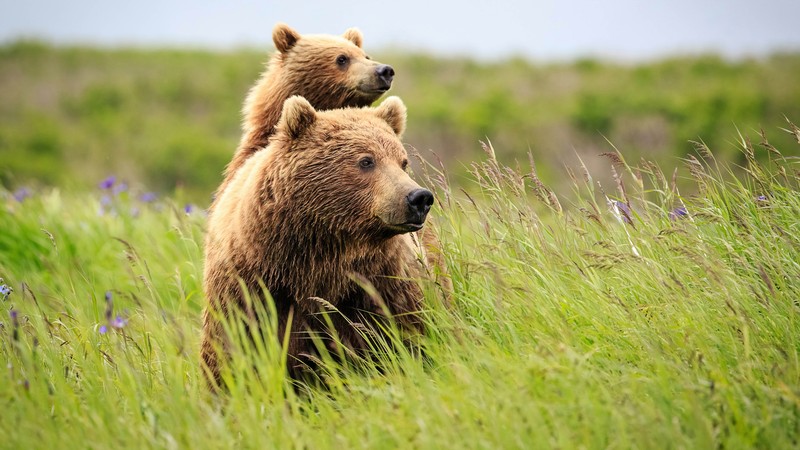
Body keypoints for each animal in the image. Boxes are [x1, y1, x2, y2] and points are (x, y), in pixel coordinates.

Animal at [203, 96, 434, 386]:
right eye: (366, 161)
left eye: (403, 162)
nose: (418, 198)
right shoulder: (251, 287)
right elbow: (234, 348)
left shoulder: (380, 282)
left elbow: (403, 333)